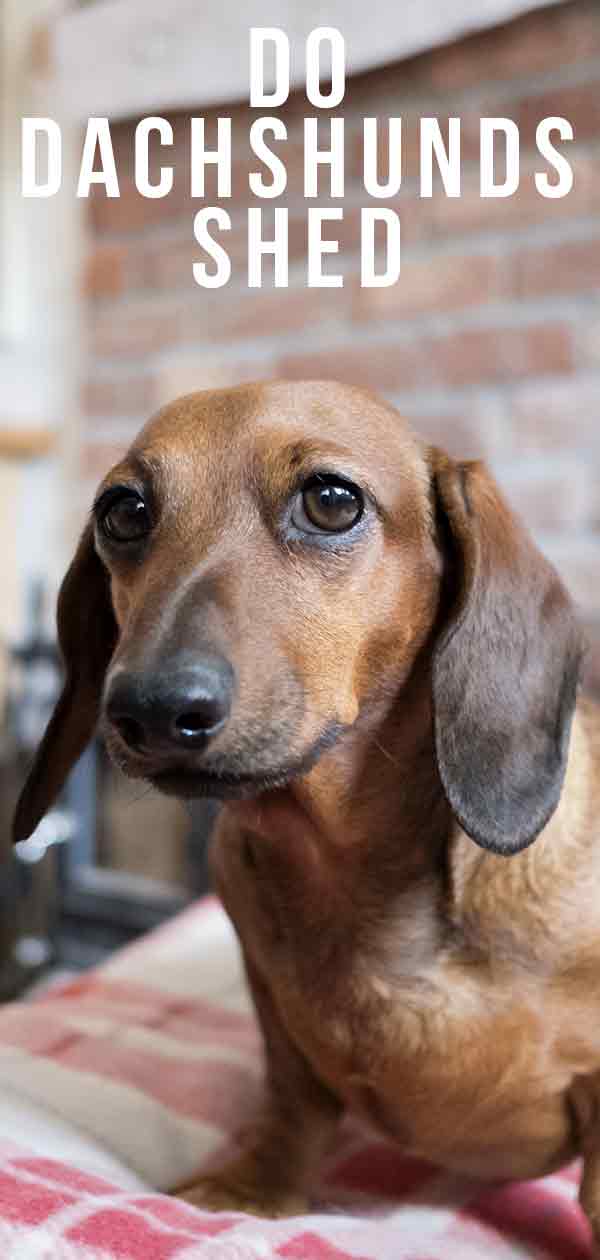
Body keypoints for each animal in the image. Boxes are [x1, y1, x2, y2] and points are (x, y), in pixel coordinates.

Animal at [14, 380, 600, 1239]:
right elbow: (291, 1104)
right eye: (123, 511)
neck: (349, 867)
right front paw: (252, 1189)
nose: (150, 709)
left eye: (331, 500)